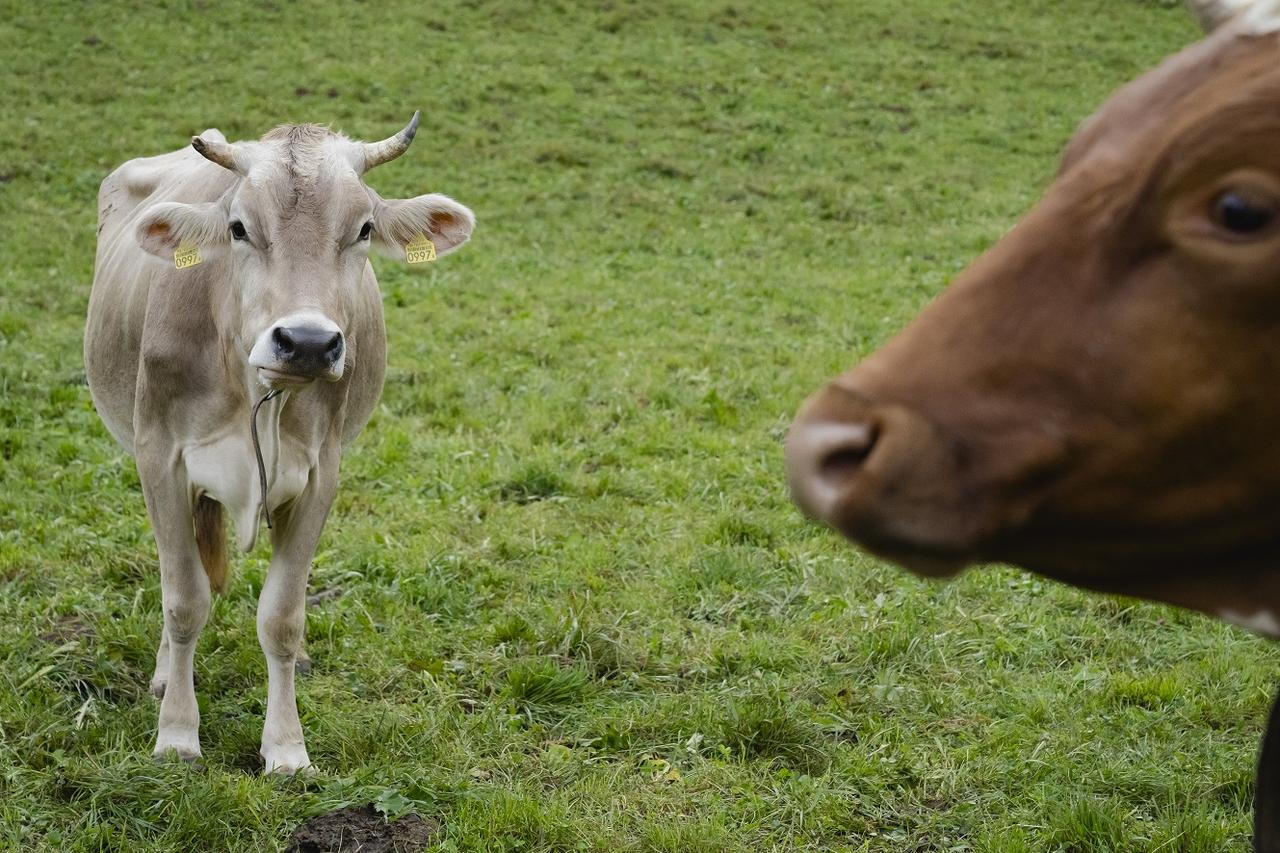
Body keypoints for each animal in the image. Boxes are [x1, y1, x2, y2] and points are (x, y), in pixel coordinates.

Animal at [86, 112, 476, 768]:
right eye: (239, 228)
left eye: (363, 228)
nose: (309, 342)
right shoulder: (159, 459)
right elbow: (183, 599)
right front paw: (177, 734)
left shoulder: (320, 474)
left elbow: (282, 617)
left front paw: (287, 747)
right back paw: (166, 676)